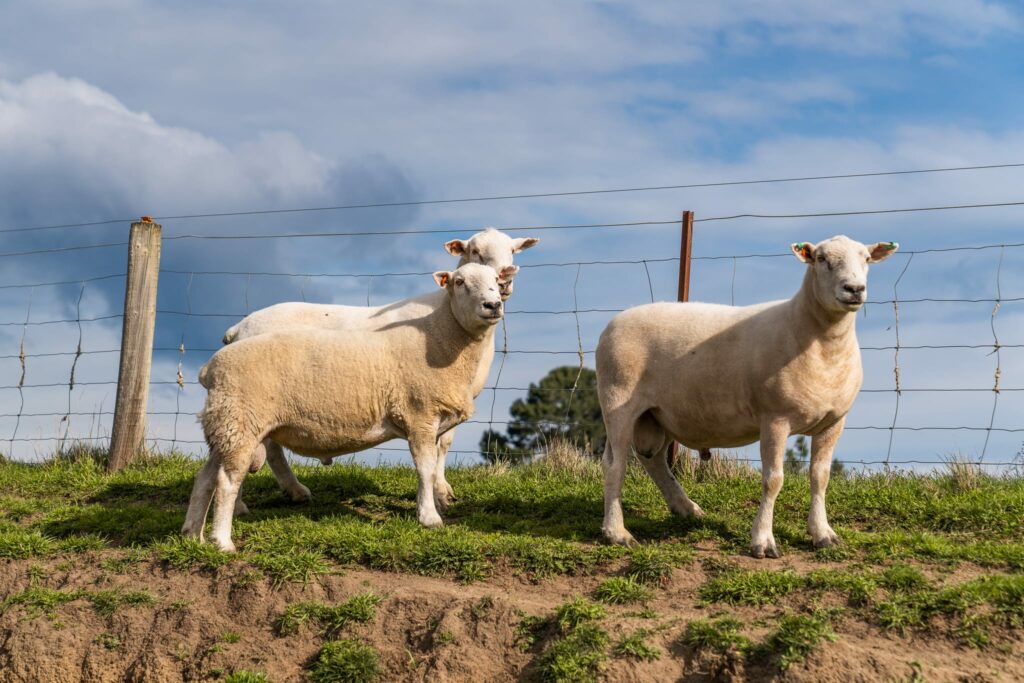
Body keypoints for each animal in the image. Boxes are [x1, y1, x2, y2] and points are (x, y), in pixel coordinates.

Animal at [182, 262, 512, 548]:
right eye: (459, 282)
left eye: (496, 281)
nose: (493, 305)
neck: (440, 336)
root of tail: (210, 367)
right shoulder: (419, 413)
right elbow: (425, 467)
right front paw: (429, 517)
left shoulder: (434, 418)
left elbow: (435, 464)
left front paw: (436, 502)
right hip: (241, 421)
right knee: (229, 478)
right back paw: (223, 540)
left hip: (227, 427)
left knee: (206, 478)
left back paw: (193, 535)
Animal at [598, 235, 901, 557]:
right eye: (821, 259)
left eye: (866, 259)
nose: (854, 289)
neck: (819, 339)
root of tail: (615, 321)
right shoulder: (775, 419)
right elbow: (773, 480)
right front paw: (763, 541)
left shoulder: (833, 422)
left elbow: (820, 477)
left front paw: (823, 533)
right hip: (618, 400)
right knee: (615, 465)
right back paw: (616, 532)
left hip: (659, 414)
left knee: (653, 460)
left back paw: (686, 508)